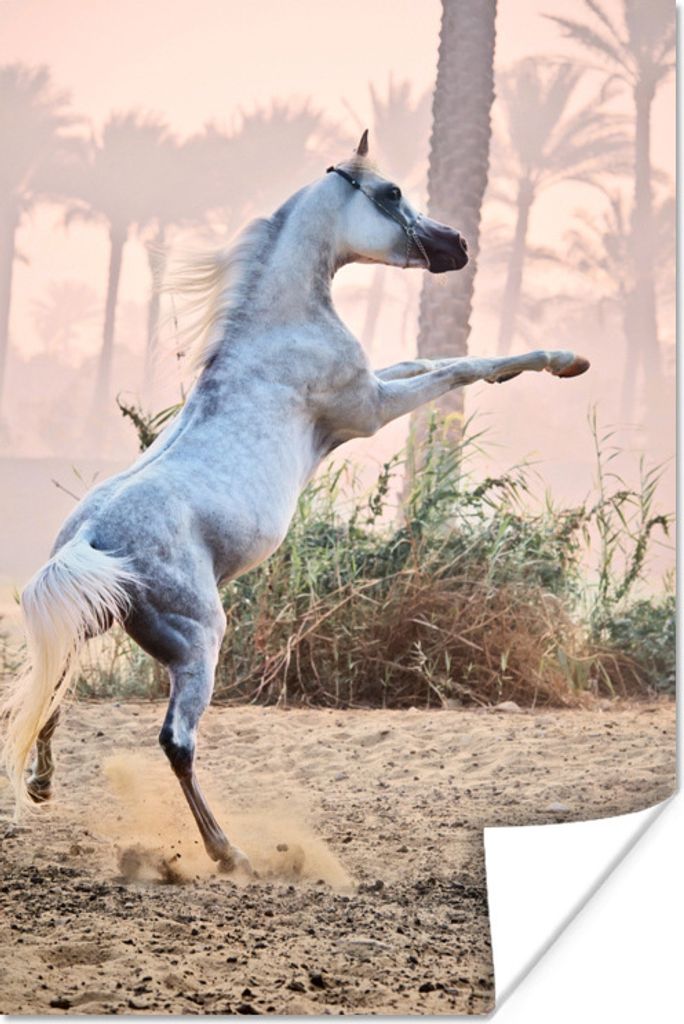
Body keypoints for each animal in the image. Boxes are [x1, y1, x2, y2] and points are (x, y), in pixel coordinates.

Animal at [1, 130, 589, 875]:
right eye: (392, 193)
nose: (456, 245)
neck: (277, 328)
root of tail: (88, 540)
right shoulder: (369, 409)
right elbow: (457, 366)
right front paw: (563, 360)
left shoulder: (374, 389)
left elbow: (427, 360)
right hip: (198, 642)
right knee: (175, 741)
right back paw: (230, 855)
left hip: (91, 624)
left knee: (50, 697)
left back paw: (44, 787)